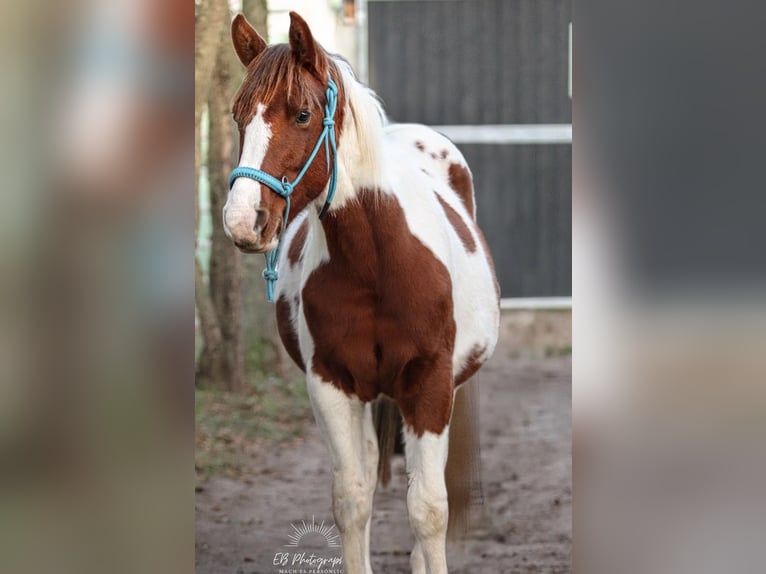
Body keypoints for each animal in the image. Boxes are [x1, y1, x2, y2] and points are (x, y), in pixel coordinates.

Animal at [223, 12, 500, 574]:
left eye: (303, 114)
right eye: (239, 118)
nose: (243, 221)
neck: (377, 266)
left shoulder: (431, 384)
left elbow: (428, 508)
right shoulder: (332, 384)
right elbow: (351, 499)